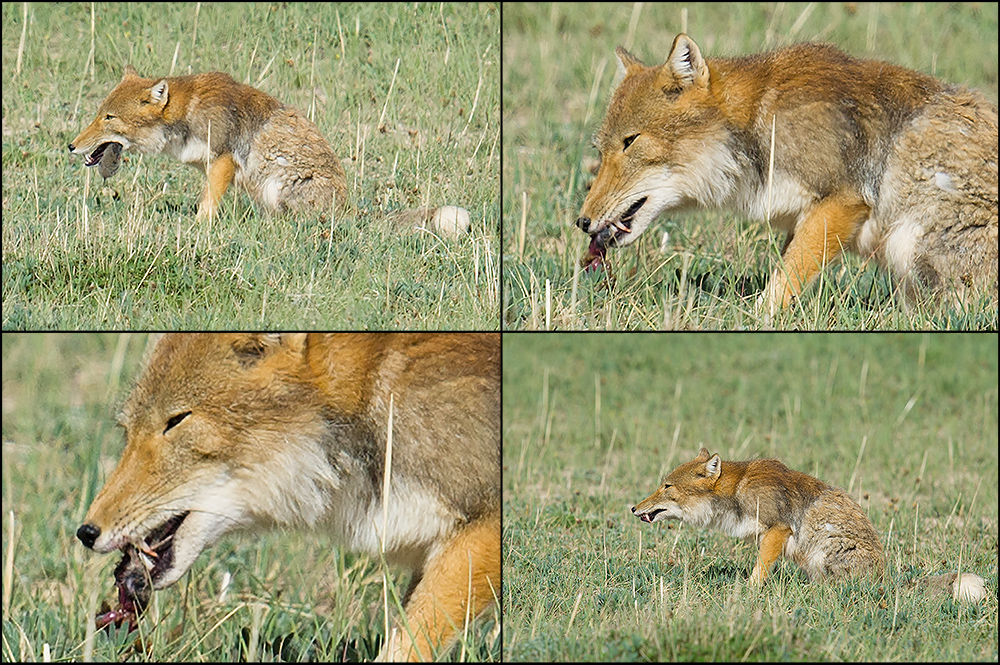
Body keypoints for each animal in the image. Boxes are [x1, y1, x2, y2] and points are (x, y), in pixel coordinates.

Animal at [67, 68, 348, 223]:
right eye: (99, 114)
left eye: (109, 118)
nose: (71, 146)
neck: (187, 114)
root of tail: (349, 211)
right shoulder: (208, 166)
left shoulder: (223, 161)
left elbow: (207, 205)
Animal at [580, 35, 1000, 316]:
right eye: (601, 151)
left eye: (631, 142)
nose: (582, 222)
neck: (758, 122)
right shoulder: (802, 219)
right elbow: (786, 273)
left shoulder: (842, 203)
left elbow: (783, 283)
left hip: (910, 248)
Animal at [632, 446, 884, 580]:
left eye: (667, 486)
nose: (633, 508)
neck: (737, 490)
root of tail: (883, 577)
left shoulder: (778, 529)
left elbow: (759, 570)